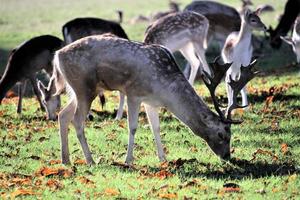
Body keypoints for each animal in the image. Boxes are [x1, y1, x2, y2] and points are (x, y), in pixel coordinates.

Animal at [49, 34, 255, 166]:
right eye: (222, 134)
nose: (227, 156)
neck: (164, 89)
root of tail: (57, 55)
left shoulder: (151, 101)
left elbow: (155, 127)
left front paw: (163, 158)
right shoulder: (133, 92)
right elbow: (133, 127)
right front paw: (128, 160)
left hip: (78, 90)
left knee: (63, 115)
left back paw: (65, 160)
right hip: (84, 86)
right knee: (77, 120)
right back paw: (90, 160)